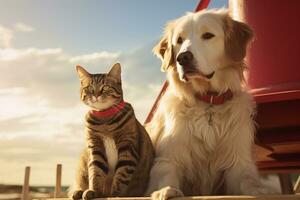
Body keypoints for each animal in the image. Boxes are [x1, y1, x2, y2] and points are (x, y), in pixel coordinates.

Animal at [69, 63, 155, 200]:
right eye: (90, 88)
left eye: (105, 87)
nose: (96, 95)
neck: (104, 120)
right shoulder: (95, 147)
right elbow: (96, 171)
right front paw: (94, 191)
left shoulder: (127, 148)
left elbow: (121, 175)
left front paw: (115, 195)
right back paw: (79, 191)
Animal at [145, 8, 274, 199]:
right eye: (179, 40)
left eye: (208, 35)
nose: (183, 58)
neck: (209, 102)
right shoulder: (168, 157)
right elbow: (165, 174)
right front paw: (165, 190)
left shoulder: (238, 161)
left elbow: (248, 180)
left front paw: (260, 190)